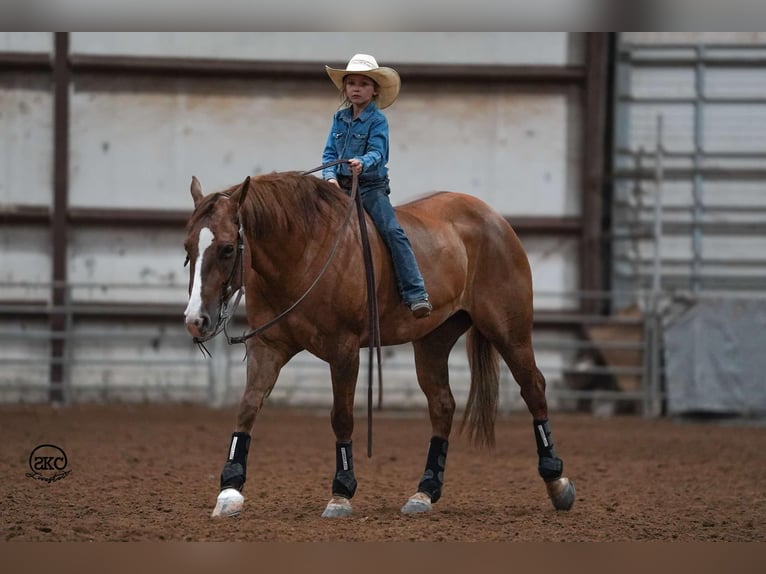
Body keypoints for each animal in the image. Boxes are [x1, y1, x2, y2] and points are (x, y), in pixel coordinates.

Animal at [182, 172, 576, 520]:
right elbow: (248, 407)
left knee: (534, 388)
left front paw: (341, 493)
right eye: (188, 247)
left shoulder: (343, 350)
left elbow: (341, 417)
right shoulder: (269, 346)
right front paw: (229, 491)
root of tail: (494, 219)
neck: (305, 253)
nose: (195, 319)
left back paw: (557, 483)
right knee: (442, 406)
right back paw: (424, 492)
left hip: (510, 332)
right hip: (433, 341)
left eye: (227, 248)